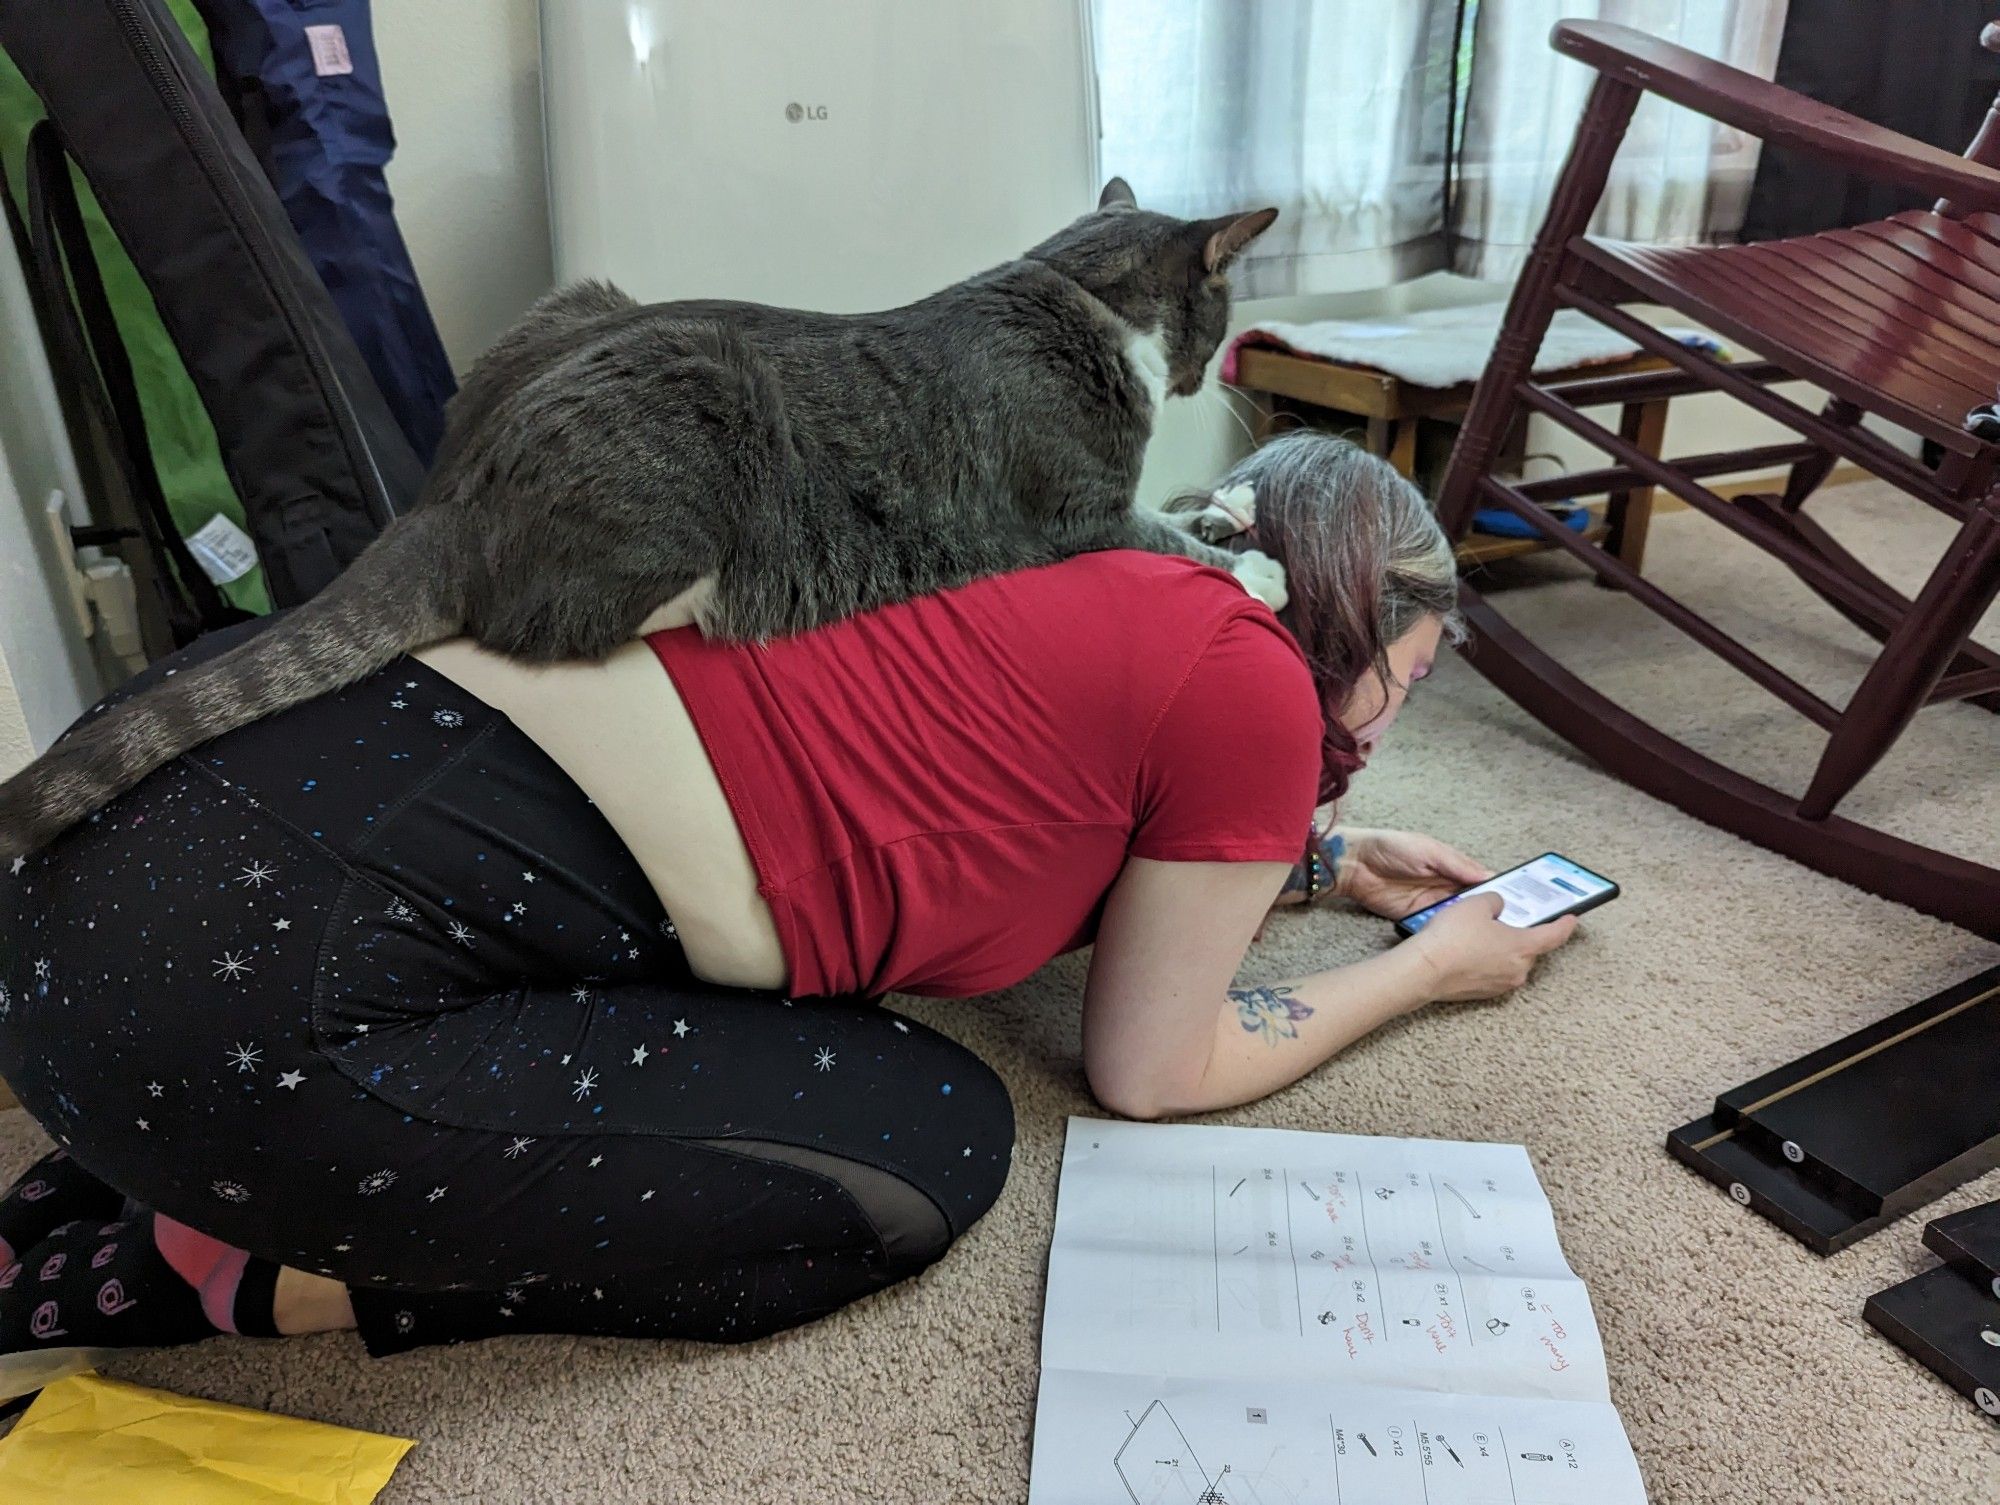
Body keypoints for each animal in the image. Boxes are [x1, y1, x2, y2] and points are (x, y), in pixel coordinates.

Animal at [0, 179, 1280, 856]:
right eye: (1219, 317)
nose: (1206, 378)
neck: (1071, 285)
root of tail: (447, 487)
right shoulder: (1072, 511)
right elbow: (1154, 533)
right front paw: (1250, 567)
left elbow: (1186, 511)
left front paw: (1231, 502)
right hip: (697, 436)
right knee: (550, 619)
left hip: (579, 301)